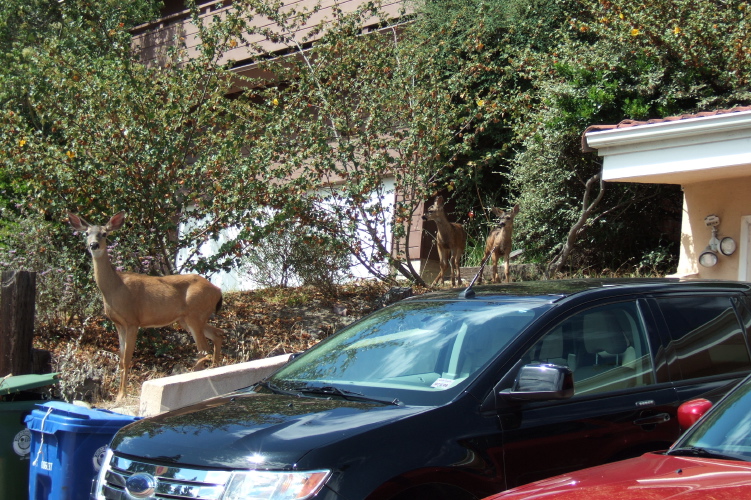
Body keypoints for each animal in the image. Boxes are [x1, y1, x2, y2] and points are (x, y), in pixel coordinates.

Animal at [67, 211, 223, 402]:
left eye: (104, 233)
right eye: (87, 233)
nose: (93, 245)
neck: (115, 288)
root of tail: (217, 290)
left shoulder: (132, 321)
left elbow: (127, 358)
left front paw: (122, 396)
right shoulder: (118, 324)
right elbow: (120, 358)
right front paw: (118, 395)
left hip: (195, 314)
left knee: (203, 348)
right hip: (187, 319)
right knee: (217, 334)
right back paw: (213, 369)